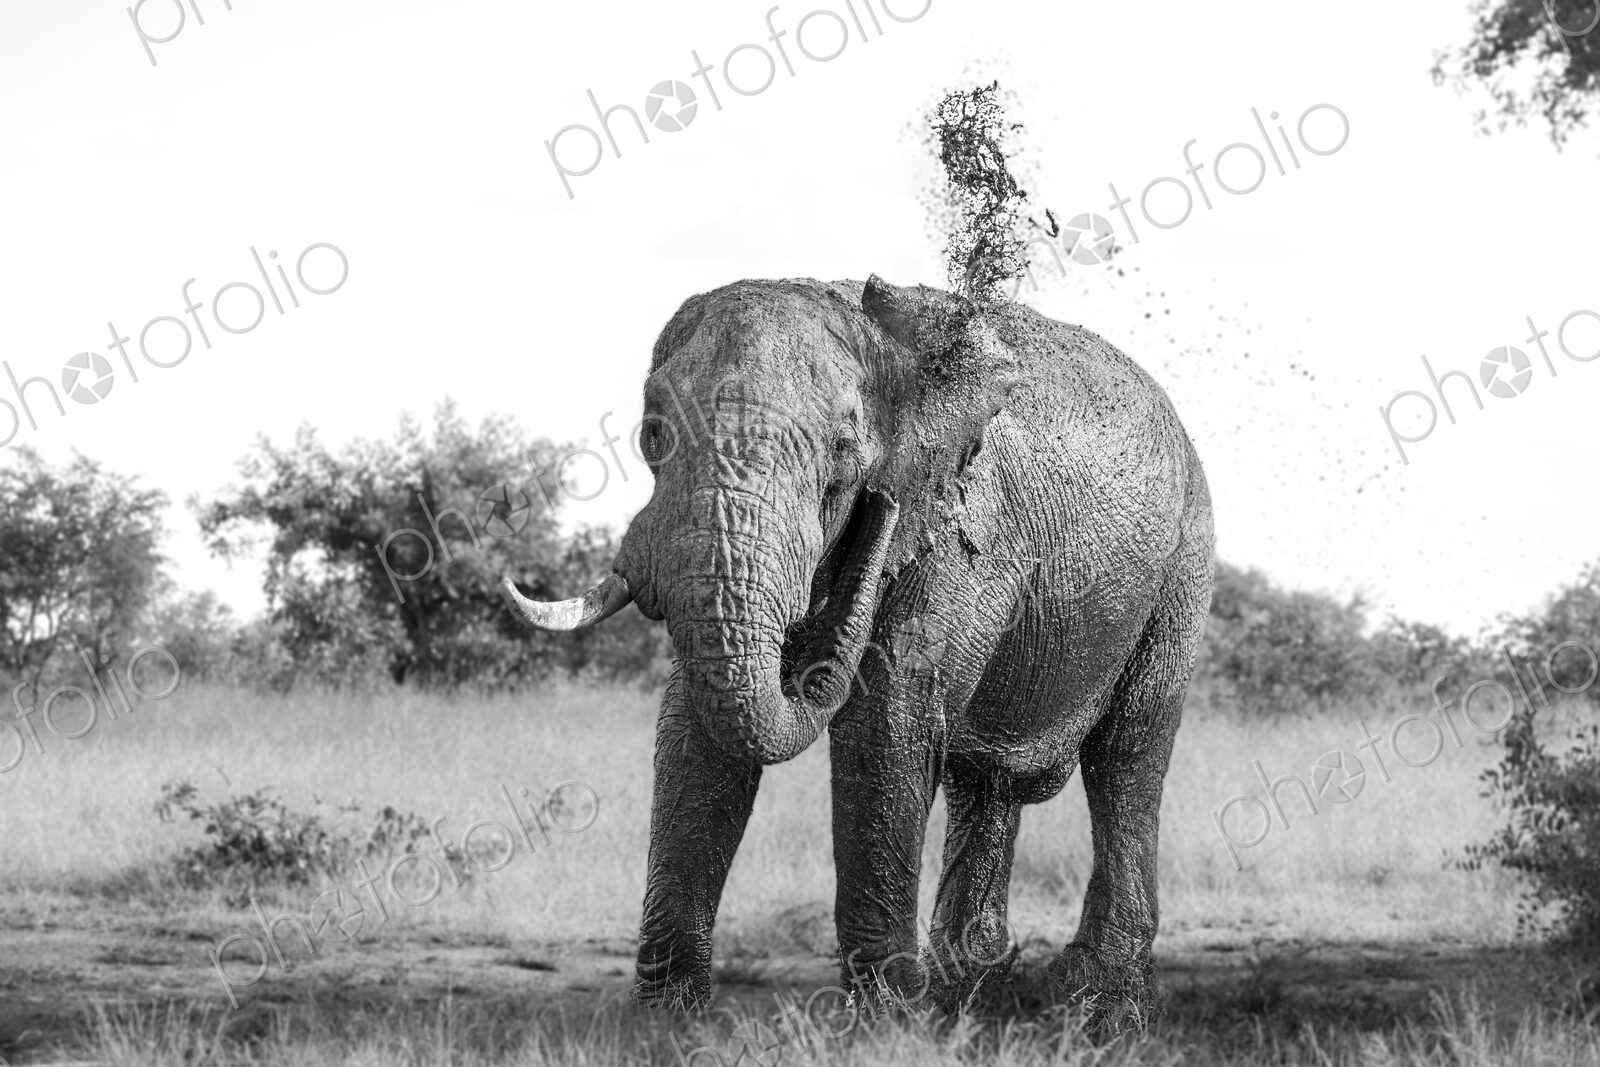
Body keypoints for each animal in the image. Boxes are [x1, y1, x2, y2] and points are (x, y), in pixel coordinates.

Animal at [501, 274, 1215, 1014]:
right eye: (651, 433)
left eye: (844, 459)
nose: (877, 510)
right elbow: (695, 731)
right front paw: (668, 1017)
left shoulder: (955, 523)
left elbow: (887, 720)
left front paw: (885, 1018)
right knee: (985, 781)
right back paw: (971, 991)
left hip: (1184, 562)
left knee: (1127, 754)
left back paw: (1093, 998)